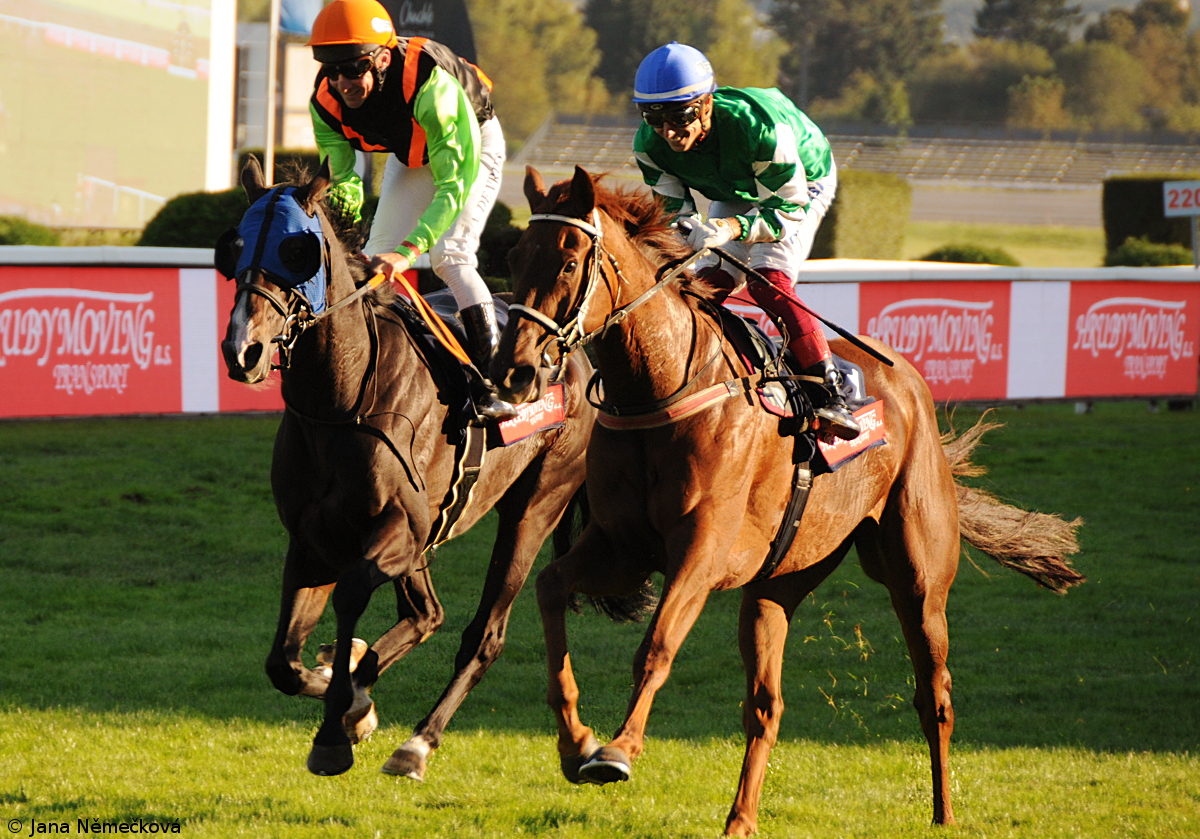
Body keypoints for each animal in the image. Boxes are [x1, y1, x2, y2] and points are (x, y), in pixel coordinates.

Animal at [219, 157, 595, 781]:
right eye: (235, 246)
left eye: (297, 250)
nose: (241, 351)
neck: (342, 400)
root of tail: (574, 349)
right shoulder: (313, 540)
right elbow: (283, 663)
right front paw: (342, 687)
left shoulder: (396, 532)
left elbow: (350, 597)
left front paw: (336, 727)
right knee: (427, 615)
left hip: (536, 505)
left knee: (482, 632)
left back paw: (417, 742)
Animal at [490, 165, 1084, 836]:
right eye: (515, 256)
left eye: (568, 261)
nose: (513, 371)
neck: (663, 387)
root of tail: (910, 383)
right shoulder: (622, 547)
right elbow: (548, 590)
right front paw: (577, 744)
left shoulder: (700, 551)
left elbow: (657, 645)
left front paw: (617, 750)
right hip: (779, 580)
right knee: (766, 706)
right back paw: (740, 819)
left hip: (917, 577)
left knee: (934, 693)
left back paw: (943, 811)